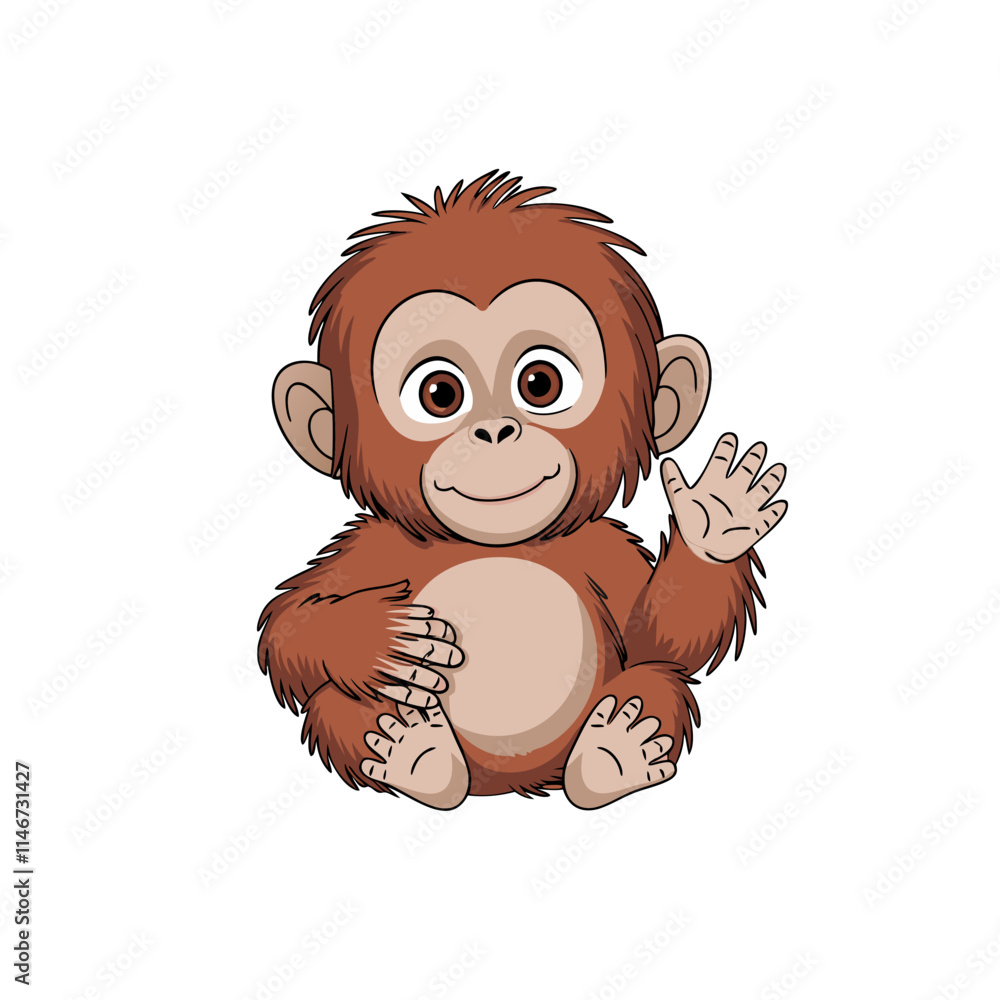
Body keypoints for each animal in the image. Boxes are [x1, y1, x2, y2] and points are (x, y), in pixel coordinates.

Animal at [257, 170, 787, 810]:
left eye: (541, 383)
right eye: (439, 393)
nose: (494, 431)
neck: (498, 545)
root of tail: (507, 785)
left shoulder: (600, 549)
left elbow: (657, 634)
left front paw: (714, 521)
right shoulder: (377, 548)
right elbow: (291, 623)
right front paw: (379, 640)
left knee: (655, 682)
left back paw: (619, 749)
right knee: (344, 702)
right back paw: (411, 748)